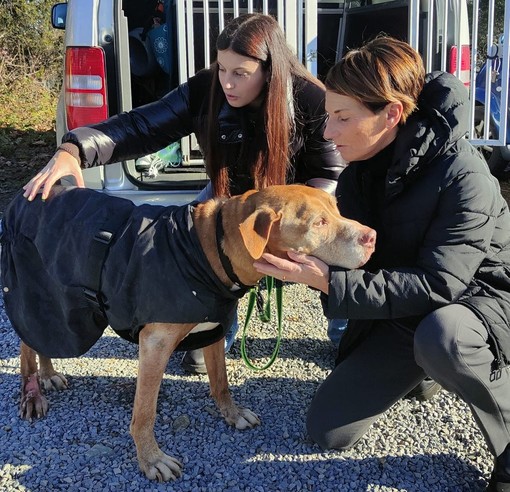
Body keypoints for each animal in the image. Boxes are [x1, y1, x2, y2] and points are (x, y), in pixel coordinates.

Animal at [0, 184, 374, 480]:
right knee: (25, 344)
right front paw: (151, 459)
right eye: (319, 223)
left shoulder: (214, 330)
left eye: (337, 210)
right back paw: (32, 391)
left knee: (43, 339)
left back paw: (48, 373)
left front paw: (231, 414)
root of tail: (24, 197)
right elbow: (145, 412)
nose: (372, 237)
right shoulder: (155, 343)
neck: (208, 250)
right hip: (40, 292)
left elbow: (221, 382)